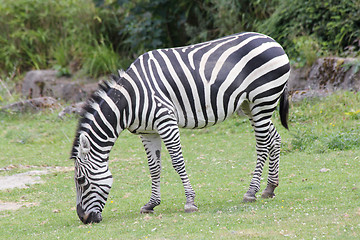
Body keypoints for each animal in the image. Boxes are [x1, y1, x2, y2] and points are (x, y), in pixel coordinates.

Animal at [71, 31, 292, 223]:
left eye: (80, 180)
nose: (84, 219)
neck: (129, 100)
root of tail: (272, 40)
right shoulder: (148, 132)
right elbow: (154, 167)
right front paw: (151, 204)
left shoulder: (166, 121)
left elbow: (178, 162)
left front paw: (190, 202)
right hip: (251, 106)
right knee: (274, 139)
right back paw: (270, 188)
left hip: (262, 99)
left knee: (262, 144)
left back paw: (251, 192)